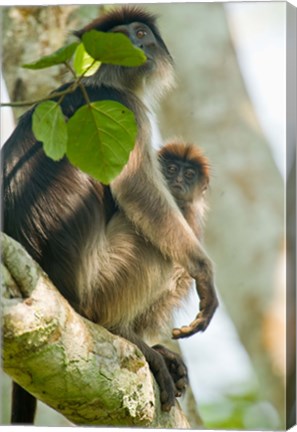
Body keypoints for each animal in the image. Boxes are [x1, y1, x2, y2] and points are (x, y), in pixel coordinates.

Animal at [1, 5, 216, 426]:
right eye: (119, 37)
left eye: (140, 33)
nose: (135, 44)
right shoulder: (126, 109)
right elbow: (137, 192)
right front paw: (204, 272)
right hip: (102, 282)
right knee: (157, 237)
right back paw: (124, 333)